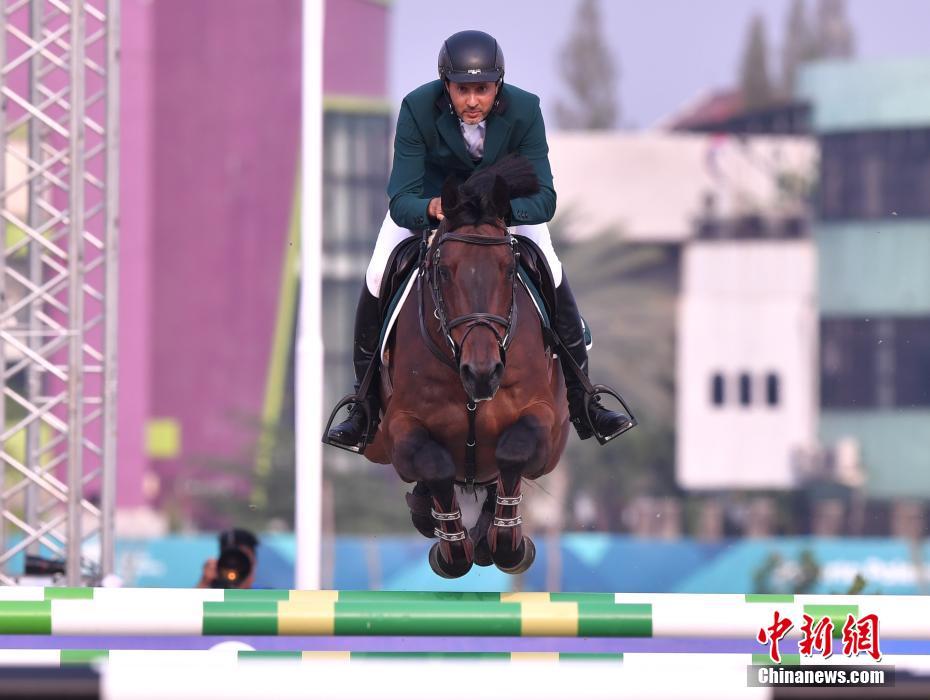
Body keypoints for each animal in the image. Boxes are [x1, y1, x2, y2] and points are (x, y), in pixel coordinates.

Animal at [363, 155, 570, 578]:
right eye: (443, 271)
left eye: (509, 269)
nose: (482, 373)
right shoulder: (398, 427)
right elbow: (434, 463)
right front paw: (453, 549)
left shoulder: (546, 422)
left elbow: (514, 451)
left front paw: (507, 543)